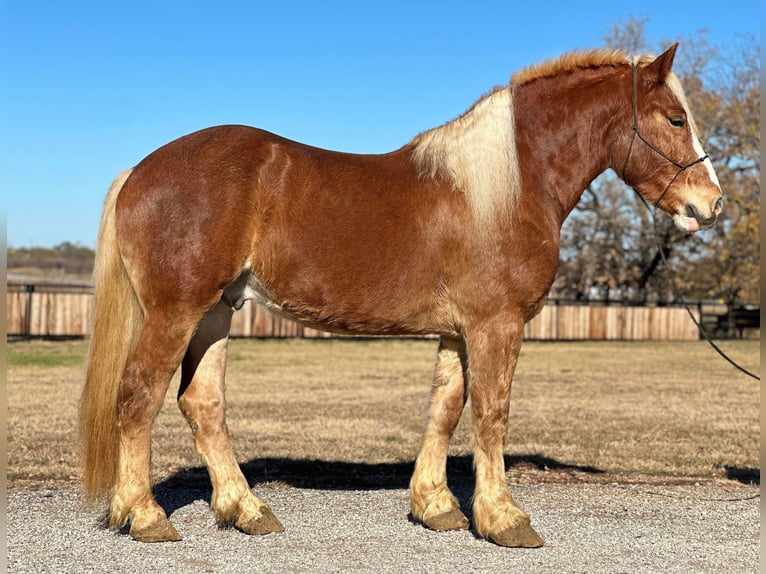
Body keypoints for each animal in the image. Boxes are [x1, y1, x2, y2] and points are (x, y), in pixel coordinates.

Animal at [81, 45, 724, 548]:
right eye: (674, 119)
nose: (711, 204)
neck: (507, 187)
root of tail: (139, 171)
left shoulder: (458, 332)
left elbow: (446, 409)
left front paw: (437, 507)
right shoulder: (496, 325)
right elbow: (491, 413)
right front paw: (504, 519)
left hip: (218, 310)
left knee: (203, 403)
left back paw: (247, 510)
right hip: (177, 311)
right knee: (138, 397)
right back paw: (146, 516)